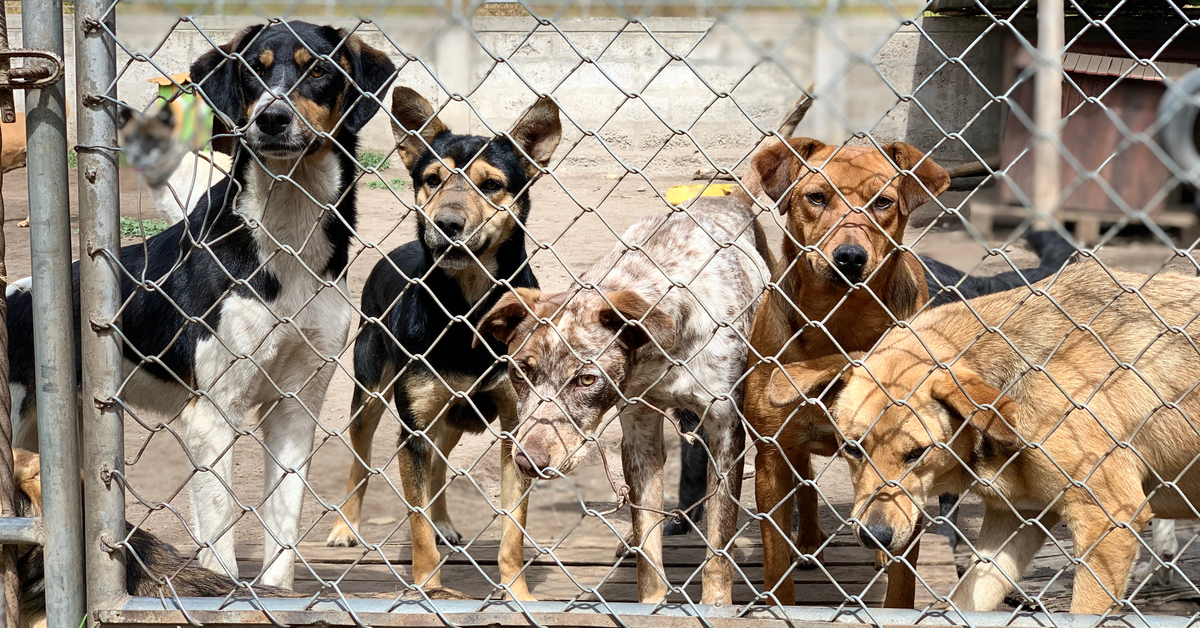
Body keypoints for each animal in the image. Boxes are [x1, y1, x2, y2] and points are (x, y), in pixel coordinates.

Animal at [7, 20, 396, 590]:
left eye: (320, 70)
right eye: (254, 69)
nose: (272, 118)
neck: (287, 239)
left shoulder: (296, 407)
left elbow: (283, 536)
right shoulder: (213, 415)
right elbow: (221, 542)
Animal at [326, 85, 564, 602]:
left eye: (491, 185)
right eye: (432, 179)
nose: (446, 224)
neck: (467, 309)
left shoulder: (513, 426)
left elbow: (513, 528)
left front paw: (517, 592)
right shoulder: (411, 429)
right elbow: (414, 523)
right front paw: (427, 586)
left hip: (452, 416)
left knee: (437, 467)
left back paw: (445, 524)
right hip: (371, 395)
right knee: (361, 461)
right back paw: (344, 526)